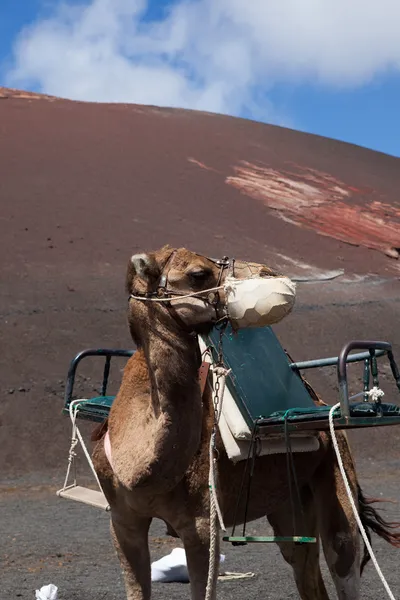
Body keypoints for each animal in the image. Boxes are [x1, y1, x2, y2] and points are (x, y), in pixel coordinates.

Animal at [91, 246, 400, 596]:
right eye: (198, 274)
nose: (269, 272)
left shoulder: (202, 524)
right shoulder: (122, 520)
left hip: (336, 462)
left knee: (342, 550)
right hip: (290, 501)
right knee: (304, 563)